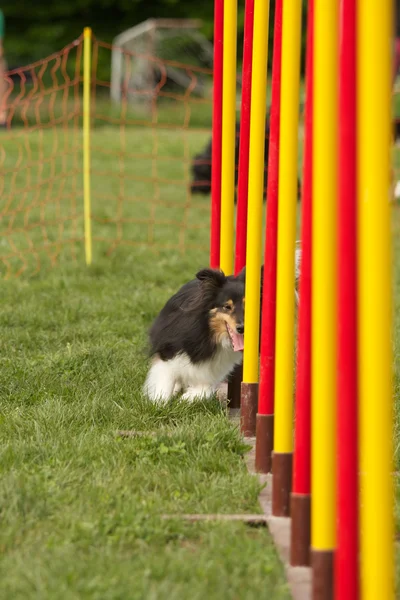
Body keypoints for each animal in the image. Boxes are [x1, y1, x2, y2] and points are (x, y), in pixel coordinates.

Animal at [143, 248, 300, 404]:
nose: (242, 328)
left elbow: (204, 389)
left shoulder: (215, 369)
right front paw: (159, 402)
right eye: (227, 306)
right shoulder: (170, 352)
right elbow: (165, 380)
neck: (211, 336)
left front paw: (186, 398)